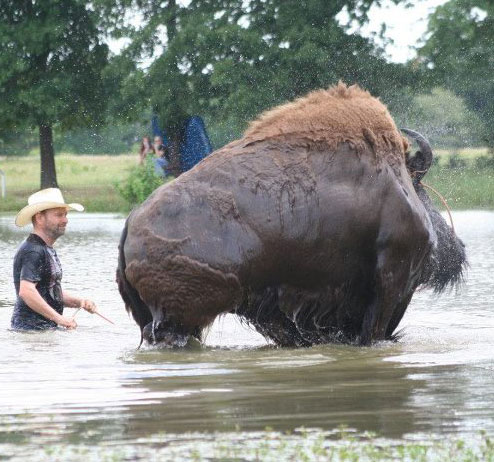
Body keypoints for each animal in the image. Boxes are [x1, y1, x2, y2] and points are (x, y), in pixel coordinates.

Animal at [116, 82, 466, 346]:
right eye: (422, 190)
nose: (458, 249)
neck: (396, 179)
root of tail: (131, 223)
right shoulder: (394, 277)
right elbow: (376, 330)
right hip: (179, 319)